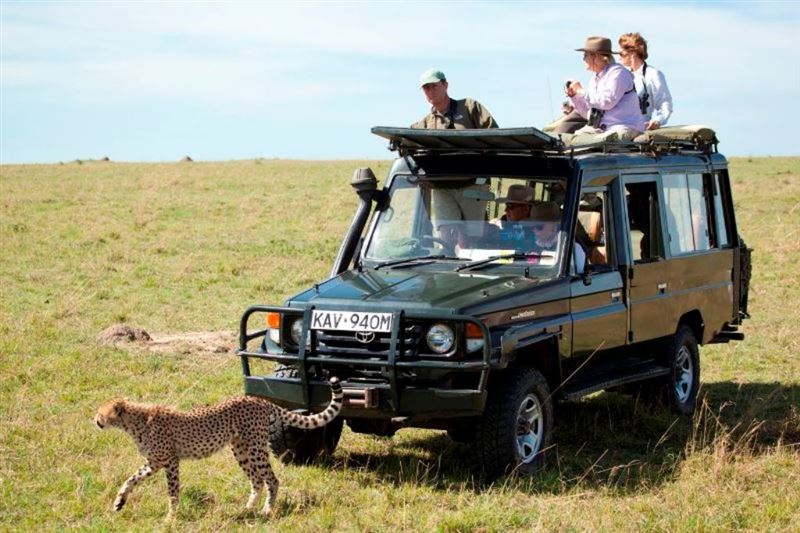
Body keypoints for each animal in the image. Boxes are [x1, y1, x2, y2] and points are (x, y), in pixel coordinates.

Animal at [94, 376, 343, 518]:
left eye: (100, 412)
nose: (94, 420)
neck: (133, 422)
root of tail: (258, 400)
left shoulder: (170, 461)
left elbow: (172, 491)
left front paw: (171, 517)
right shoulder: (155, 462)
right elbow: (131, 479)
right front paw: (119, 502)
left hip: (256, 448)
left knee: (272, 479)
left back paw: (267, 510)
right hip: (240, 449)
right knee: (257, 480)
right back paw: (248, 509)